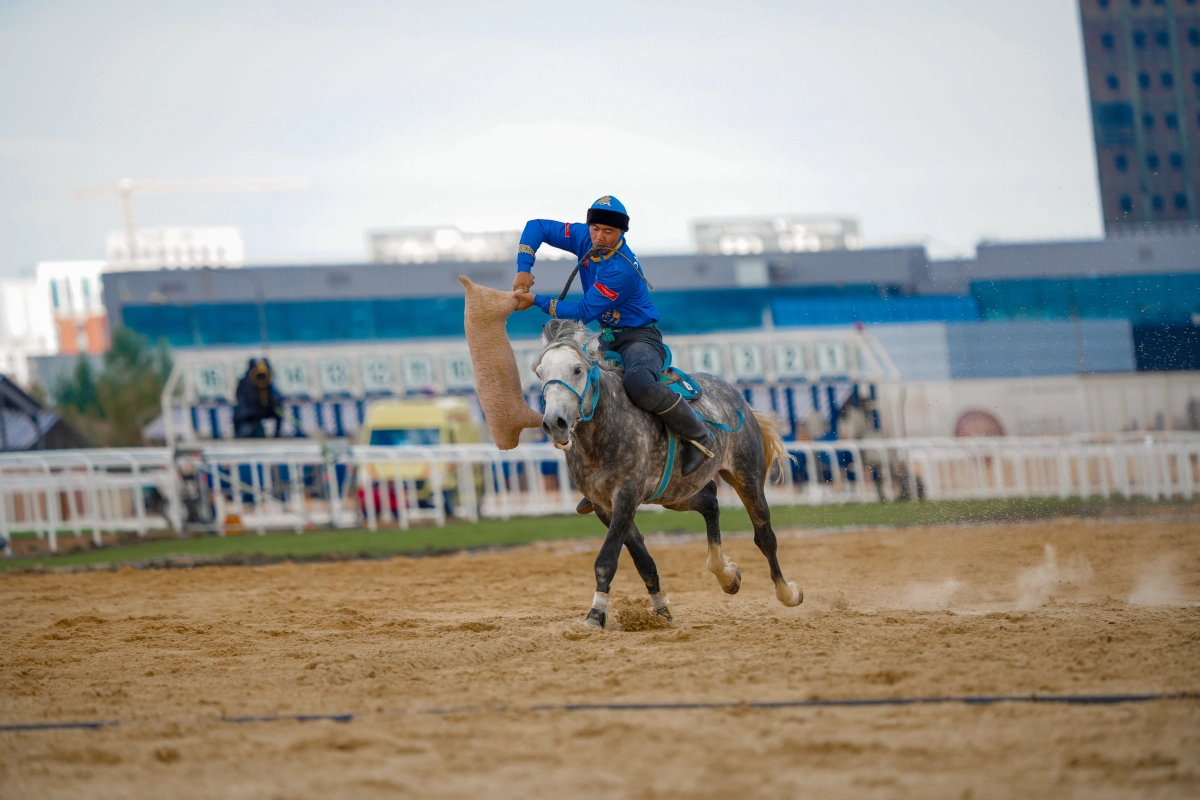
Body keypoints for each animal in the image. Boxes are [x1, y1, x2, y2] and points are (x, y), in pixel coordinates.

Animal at [537, 321, 806, 633]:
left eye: (577, 370)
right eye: (540, 373)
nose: (555, 423)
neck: (607, 426)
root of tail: (737, 397)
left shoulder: (626, 496)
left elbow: (607, 558)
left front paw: (596, 613)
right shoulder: (605, 506)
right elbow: (642, 559)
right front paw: (661, 608)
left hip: (746, 477)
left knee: (764, 537)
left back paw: (787, 592)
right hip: (676, 493)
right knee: (710, 503)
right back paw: (726, 574)